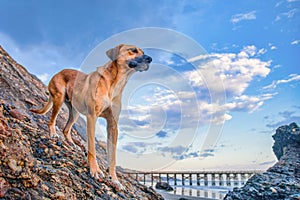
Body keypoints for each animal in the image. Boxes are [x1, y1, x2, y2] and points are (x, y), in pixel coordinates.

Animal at [30, 44, 152, 190]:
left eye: (143, 52)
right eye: (133, 50)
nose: (150, 59)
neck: (116, 82)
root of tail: (59, 71)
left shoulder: (113, 125)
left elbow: (113, 157)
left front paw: (115, 180)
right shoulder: (92, 117)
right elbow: (92, 148)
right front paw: (95, 170)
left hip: (75, 112)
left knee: (66, 129)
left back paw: (72, 143)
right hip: (59, 99)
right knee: (52, 120)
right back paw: (53, 134)